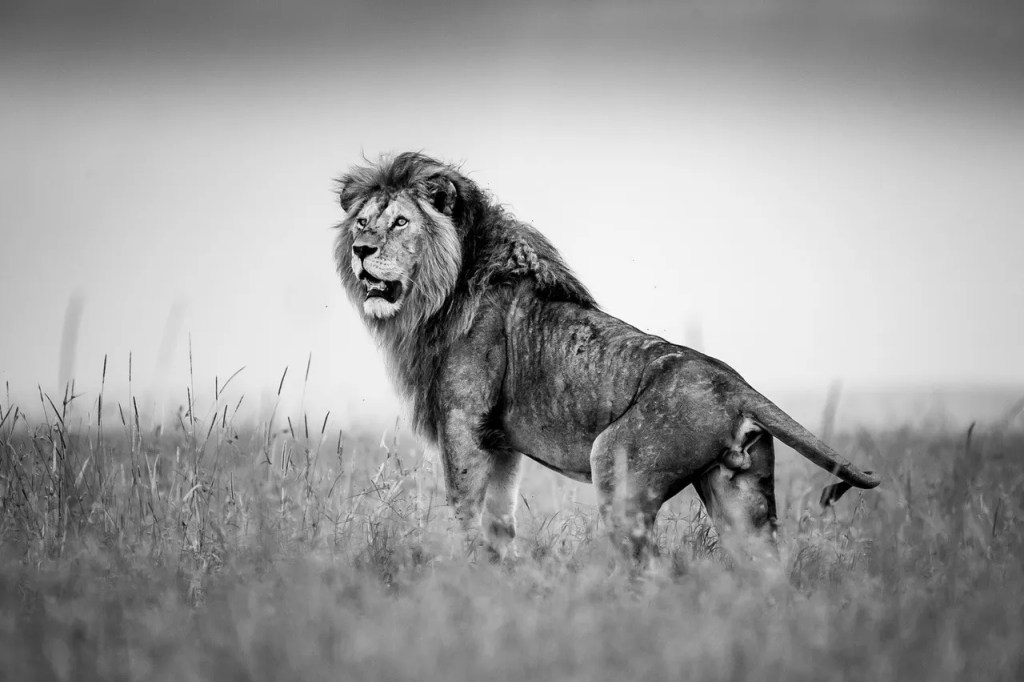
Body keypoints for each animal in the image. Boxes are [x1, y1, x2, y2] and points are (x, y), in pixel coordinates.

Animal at [333, 152, 879, 560]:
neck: (438, 293)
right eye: (361, 222)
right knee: (763, 566)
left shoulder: (464, 424)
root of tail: (738, 386)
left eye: (400, 222)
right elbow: (499, 520)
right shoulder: (500, 442)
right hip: (739, 493)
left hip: (617, 465)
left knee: (648, 565)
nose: (361, 250)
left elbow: (465, 510)